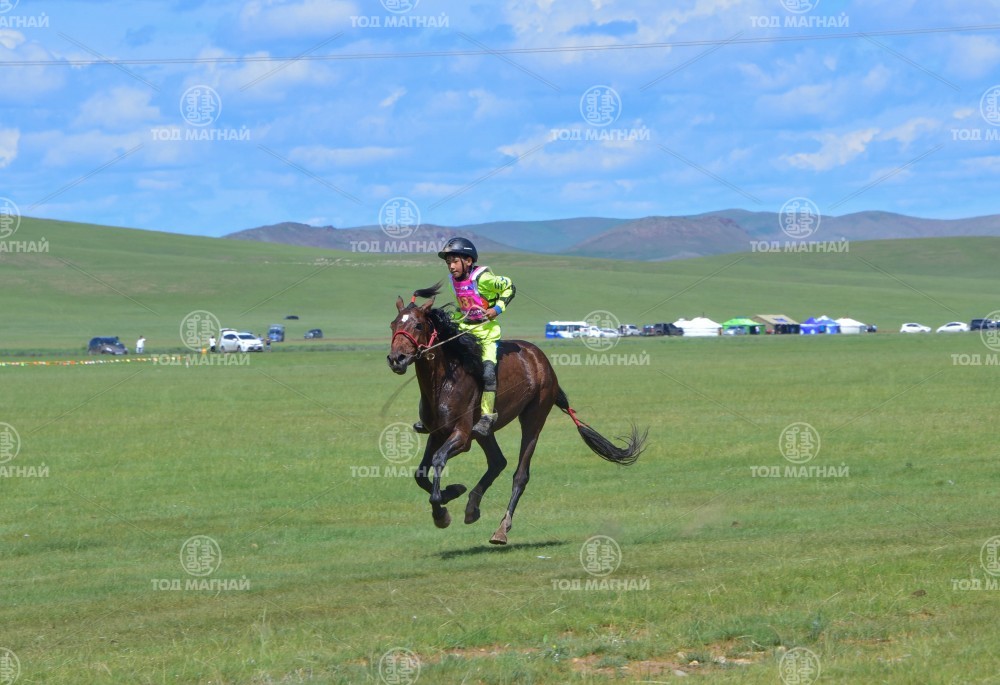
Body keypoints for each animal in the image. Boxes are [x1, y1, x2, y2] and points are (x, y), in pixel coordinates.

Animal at [387, 284, 647, 545]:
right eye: (393, 324)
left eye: (418, 325)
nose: (396, 359)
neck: (443, 382)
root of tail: (540, 358)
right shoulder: (437, 433)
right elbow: (421, 473)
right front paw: (452, 492)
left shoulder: (461, 436)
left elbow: (439, 460)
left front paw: (441, 511)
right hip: (484, 431)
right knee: (497, 461)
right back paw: (472, 506)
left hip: (533, 418)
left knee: (520, 475)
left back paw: (502, 528)